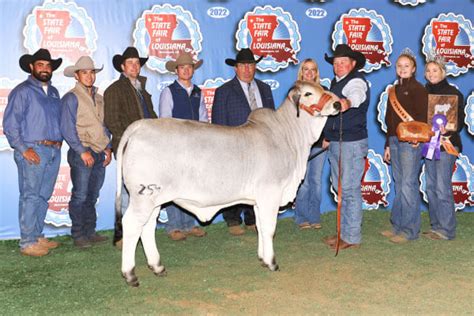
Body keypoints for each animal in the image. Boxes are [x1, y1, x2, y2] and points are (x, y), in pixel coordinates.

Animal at [113, 81, 338, 286]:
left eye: (322, 87)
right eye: (308, 93)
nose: (337, 103)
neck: (288, 138)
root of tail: (140, 126)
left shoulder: (258, 200)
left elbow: (259, 226)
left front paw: (263, 259)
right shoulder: (270, 194)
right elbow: (269, 228)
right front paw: (272, 262)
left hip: (154, 199)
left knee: (147, 227)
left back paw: (157, 267)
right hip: (142, 198)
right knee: (131, 225)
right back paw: (130, 274)